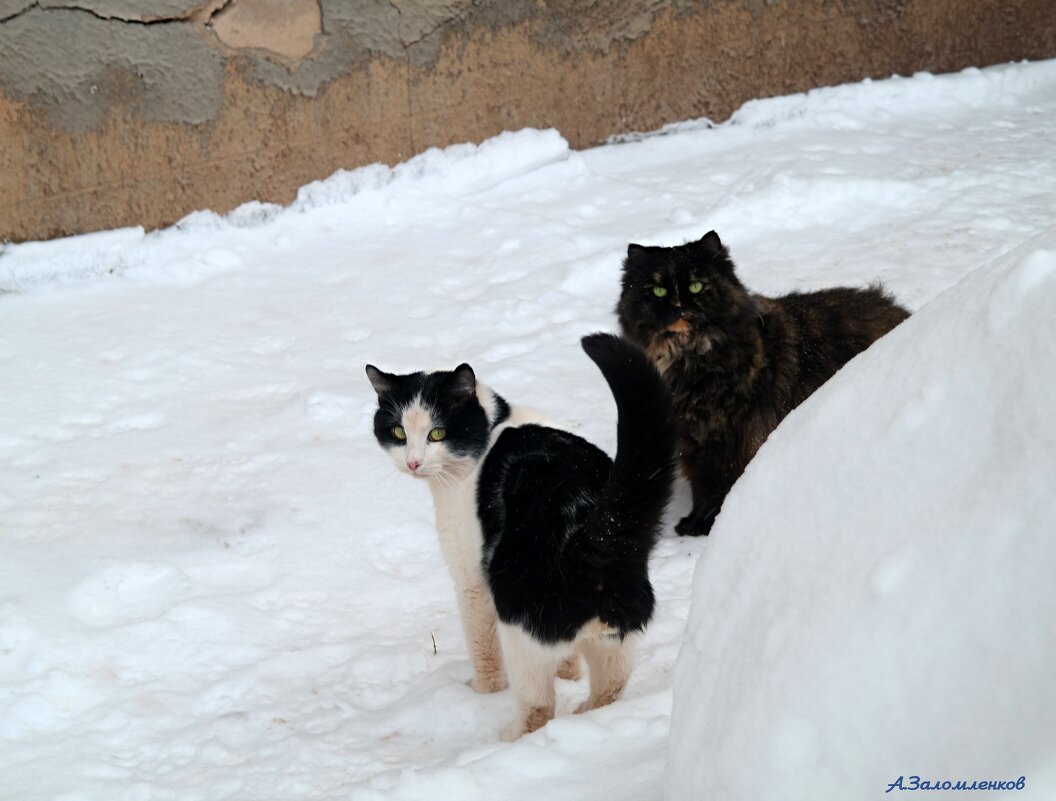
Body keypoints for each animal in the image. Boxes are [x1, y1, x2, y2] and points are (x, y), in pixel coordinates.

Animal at [365, 331, 675, 738]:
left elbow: (482, 646)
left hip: (517, 621)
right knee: (610, 688)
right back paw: (586, 716)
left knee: (538, 706)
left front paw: (483, 690)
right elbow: (568, 660)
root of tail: (599, 535)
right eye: (399, 432)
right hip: (616, 636)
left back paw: (512, 737)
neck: (493, 425)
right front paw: (568, 672)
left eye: (437, 433)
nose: (413, 462)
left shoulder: (471, 580)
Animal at [616, 232, 908, 538]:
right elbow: (701, 487)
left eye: (697, 286)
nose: (678, 306)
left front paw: (706, 526)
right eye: (658, 291)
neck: (689, 358)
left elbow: (713, 488)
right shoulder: (694, 440)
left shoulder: (726, 440)